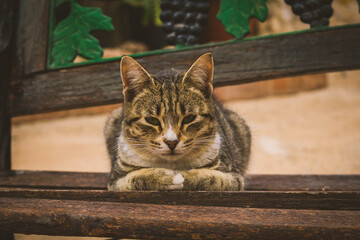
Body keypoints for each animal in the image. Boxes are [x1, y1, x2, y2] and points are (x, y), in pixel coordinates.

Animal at [104, 53, 250, 191]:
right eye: (152, 120)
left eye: (189, 118)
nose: (172, 142)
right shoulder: (116, 180)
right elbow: (137, 177)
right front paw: (168, 177)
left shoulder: (233, 176)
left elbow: (211, 177)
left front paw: (182, 175)